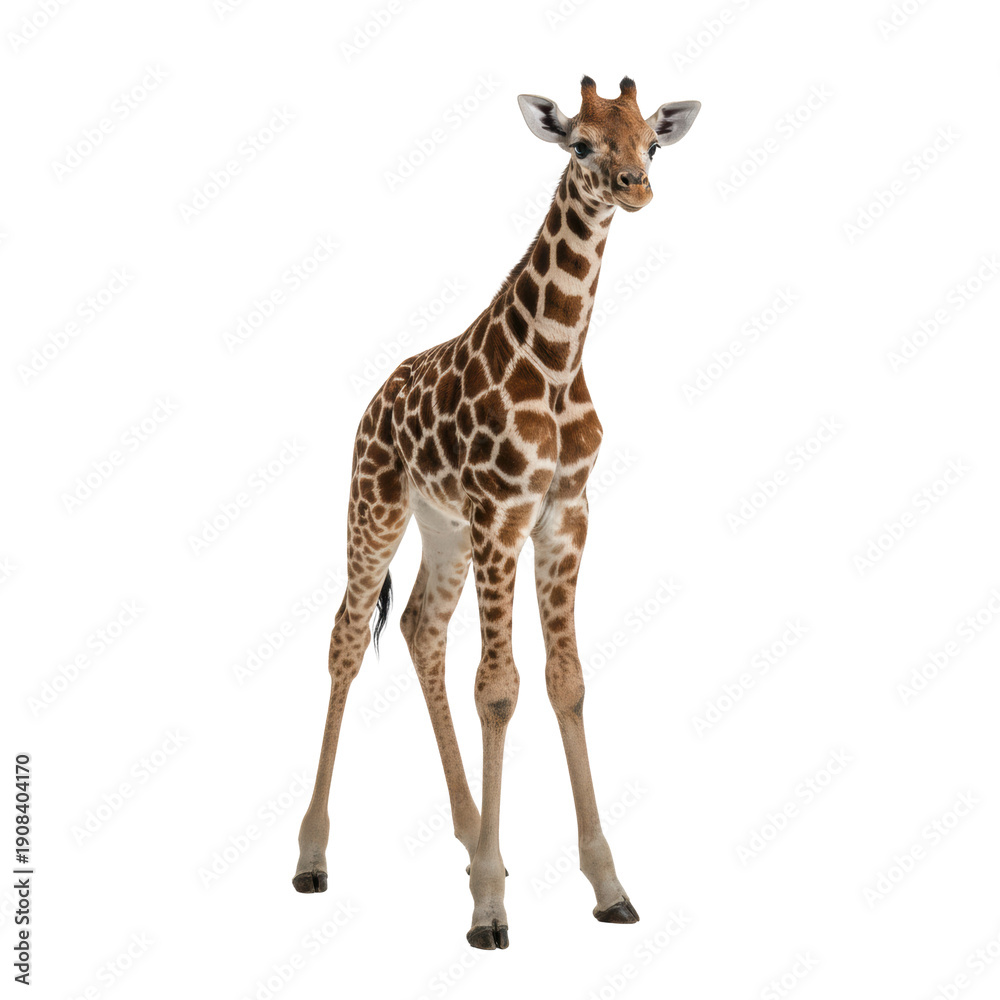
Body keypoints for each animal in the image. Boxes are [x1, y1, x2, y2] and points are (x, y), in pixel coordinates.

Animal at [292, 75, 700, 950]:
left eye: (650, 142)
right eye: (580, 143)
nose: (636, 189)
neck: (556, 358)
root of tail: (375, 398)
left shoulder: (563, 516)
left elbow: (565, 681)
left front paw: (607, 887)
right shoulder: (500, 515)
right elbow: (500, 688)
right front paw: (486, 908)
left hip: (442, 531)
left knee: (418, 626)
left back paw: (475, 831)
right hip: (375, 507)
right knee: (346, 637)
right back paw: (313, 857)